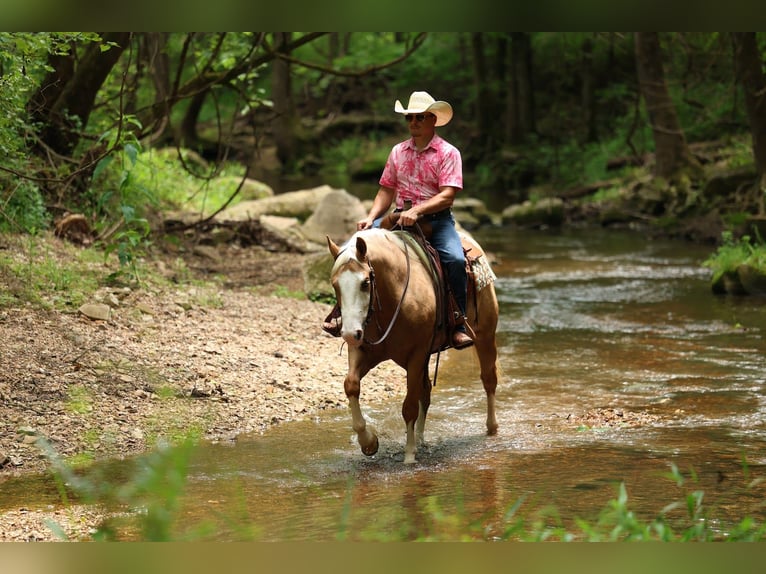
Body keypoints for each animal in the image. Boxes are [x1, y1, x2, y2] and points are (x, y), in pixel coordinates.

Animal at [326, 227, 500, 464]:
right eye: (335, 285)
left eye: (365, 283)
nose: (350, 334)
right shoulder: (362, 350)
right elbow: (351, 385)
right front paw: (369, 443)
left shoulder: (416, 354)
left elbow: (409, 406)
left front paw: (409, 455)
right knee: (425, 392)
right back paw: (421, 439)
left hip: (485, 336)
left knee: (489, 380)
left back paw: (492, 427)